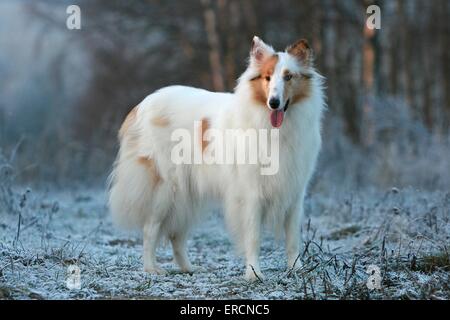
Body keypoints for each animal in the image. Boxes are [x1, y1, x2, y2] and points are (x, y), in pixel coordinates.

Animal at [109, 36, 326, 280]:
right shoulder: (251, 194)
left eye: (288, 77)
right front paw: (254, 274)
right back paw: (152, 269)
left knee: (176, 235)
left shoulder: (294, 192)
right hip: (165, 190)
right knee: (150, 229)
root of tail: (141, 105)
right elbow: (253, 237)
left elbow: (293, 239)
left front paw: (296, 269)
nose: (274, 102)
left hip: (186, 195)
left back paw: (189, 268)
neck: (275, 128)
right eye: (267, 77)